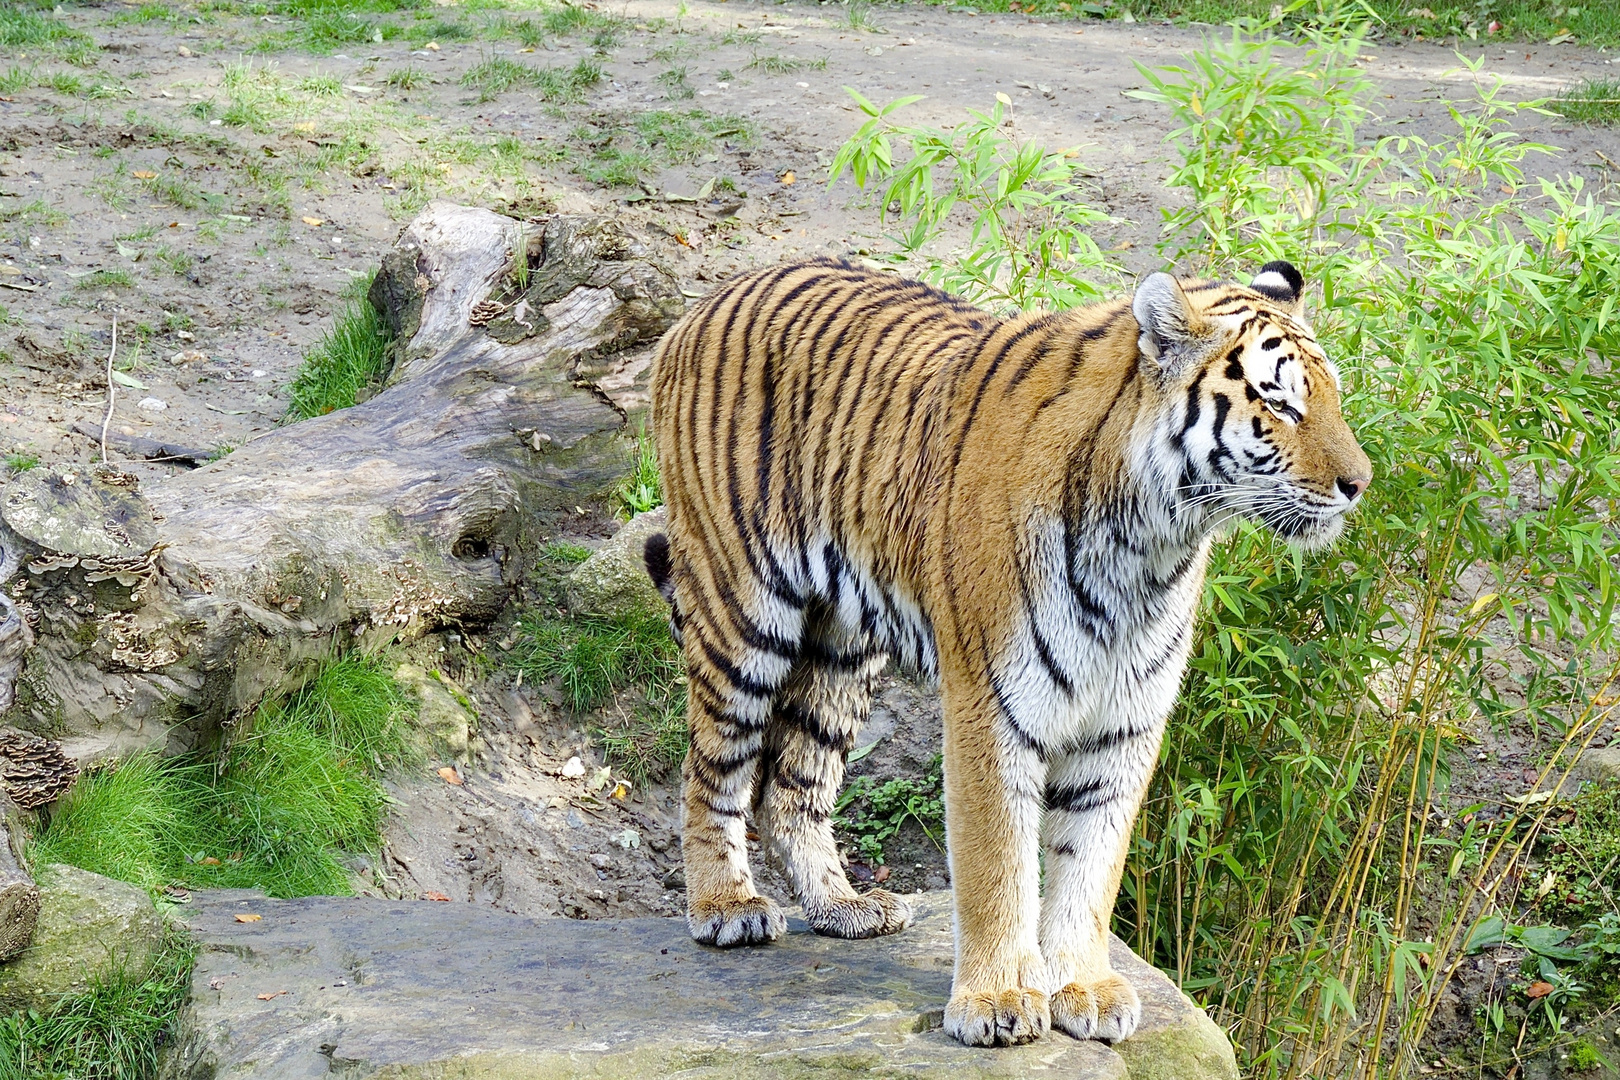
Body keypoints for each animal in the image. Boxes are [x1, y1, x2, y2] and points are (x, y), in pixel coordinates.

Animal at [638, 255, 1373, 1049]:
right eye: (1280, 404)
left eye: (1335, 397)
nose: (1359, 484)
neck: (1151, 545)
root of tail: (707, 300)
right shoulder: (993, 705)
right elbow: (997, 862)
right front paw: (995, 1002)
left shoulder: (1126, 719)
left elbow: (1092, 863)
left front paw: (1084, 987)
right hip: (742, 611)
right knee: (711, 767)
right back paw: (726, 906)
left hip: (844, 648)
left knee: (793, 783)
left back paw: (846, 908)